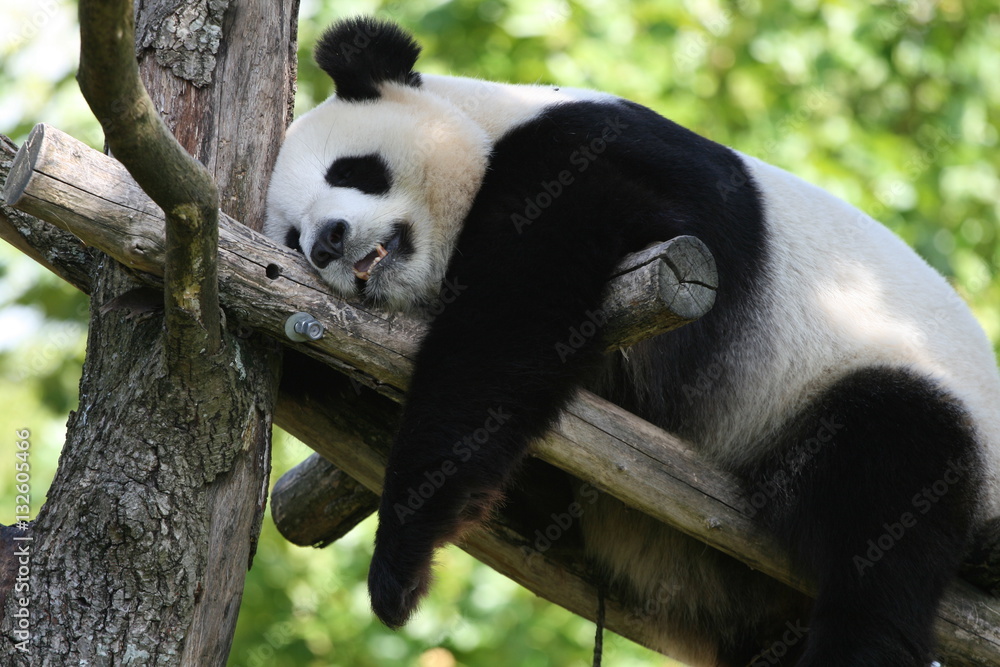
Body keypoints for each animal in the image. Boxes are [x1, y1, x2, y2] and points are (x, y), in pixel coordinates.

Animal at [265, 17, 1000, 667]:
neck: (491, 122)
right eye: (291, 241)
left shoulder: (599, 159)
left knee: (893, 478)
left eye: (354, 170)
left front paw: (401, 558)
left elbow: (514, 314)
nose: (327, 242)